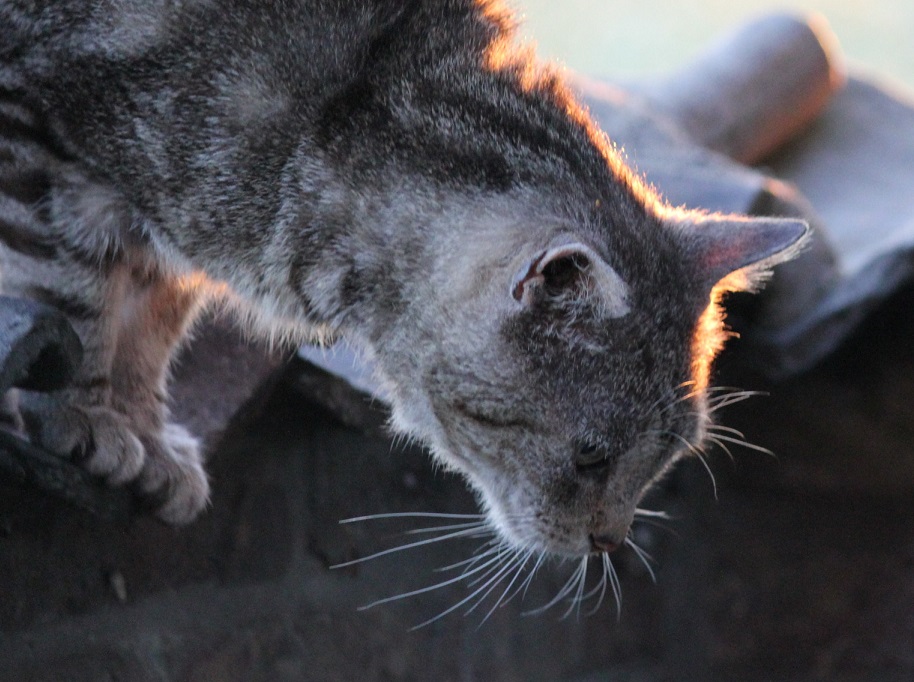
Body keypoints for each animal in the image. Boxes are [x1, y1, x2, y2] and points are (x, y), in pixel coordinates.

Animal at [0, 1, 804, 556]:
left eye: (670, 457)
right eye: (591, 455)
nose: (610, 543)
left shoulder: (166, 236)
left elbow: (149, 325)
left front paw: (143, 429)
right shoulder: (36, 131)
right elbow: (74, 294)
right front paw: (86, 416)